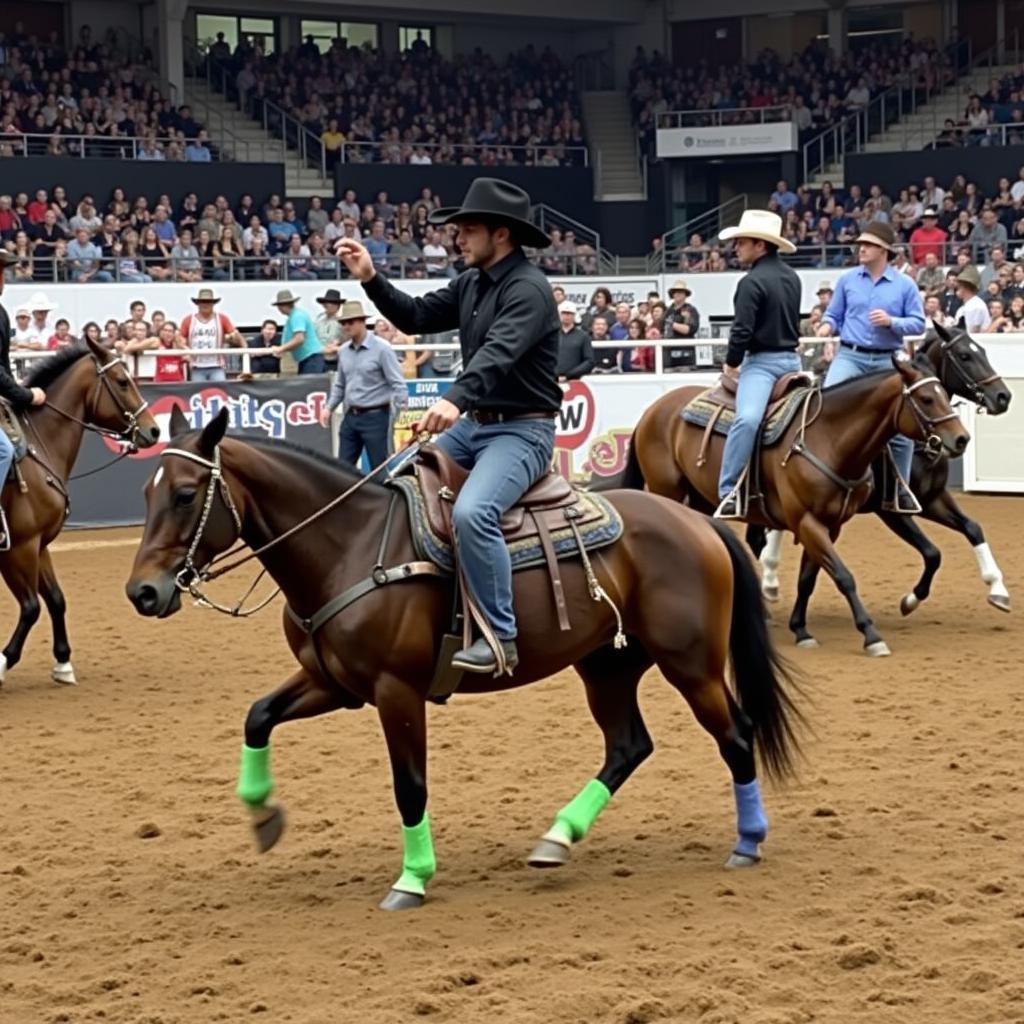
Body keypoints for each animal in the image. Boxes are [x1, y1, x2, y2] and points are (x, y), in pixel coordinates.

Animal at [1, 342, 158, 688]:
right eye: (122, 381)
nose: (154, 430)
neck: (38, 448)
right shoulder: (18, 548)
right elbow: (31, 607)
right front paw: (2, 662)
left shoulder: (39, 546)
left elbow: (56, 599)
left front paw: (63, 663)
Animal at [125, 407, 798, 913]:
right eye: (147, 492)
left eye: (184, 494)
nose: (143, 593)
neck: (351, 544)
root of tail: (698, 523)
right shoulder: (332, 682)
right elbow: (258, 716)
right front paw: (263, 815)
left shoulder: (395, 691)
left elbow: (410, 786)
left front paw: (413, 878)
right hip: (606, 666)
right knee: (629, 745)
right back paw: (557, 839)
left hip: (692, 665)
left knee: (736, 735)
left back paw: (748, 841)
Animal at [622, 352, 966, 655]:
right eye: (926, 399)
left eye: (943, 394)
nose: (961, 439)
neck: (829, 437)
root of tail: (652, 412)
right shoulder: (809, 521)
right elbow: (844, 576)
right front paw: (871, 634)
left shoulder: (829, 524)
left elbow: (808, 578)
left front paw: (801, 629)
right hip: (667, 490)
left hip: (700, 500)